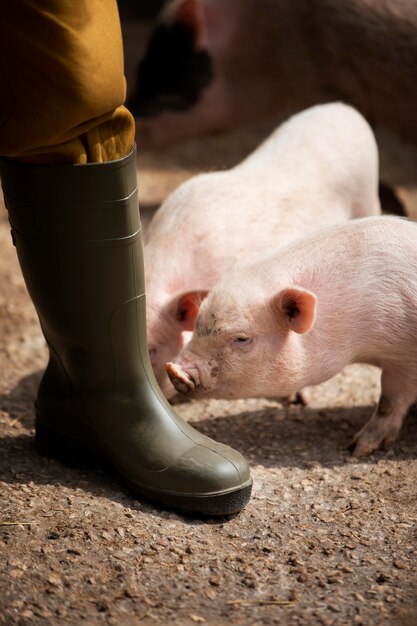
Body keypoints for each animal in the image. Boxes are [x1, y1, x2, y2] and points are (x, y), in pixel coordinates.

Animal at [167, 213, 416, 454]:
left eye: (242, 339)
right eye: (197, 324)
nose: (174, 369)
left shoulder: (403, 358)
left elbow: (389, 401)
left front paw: (356, 449)